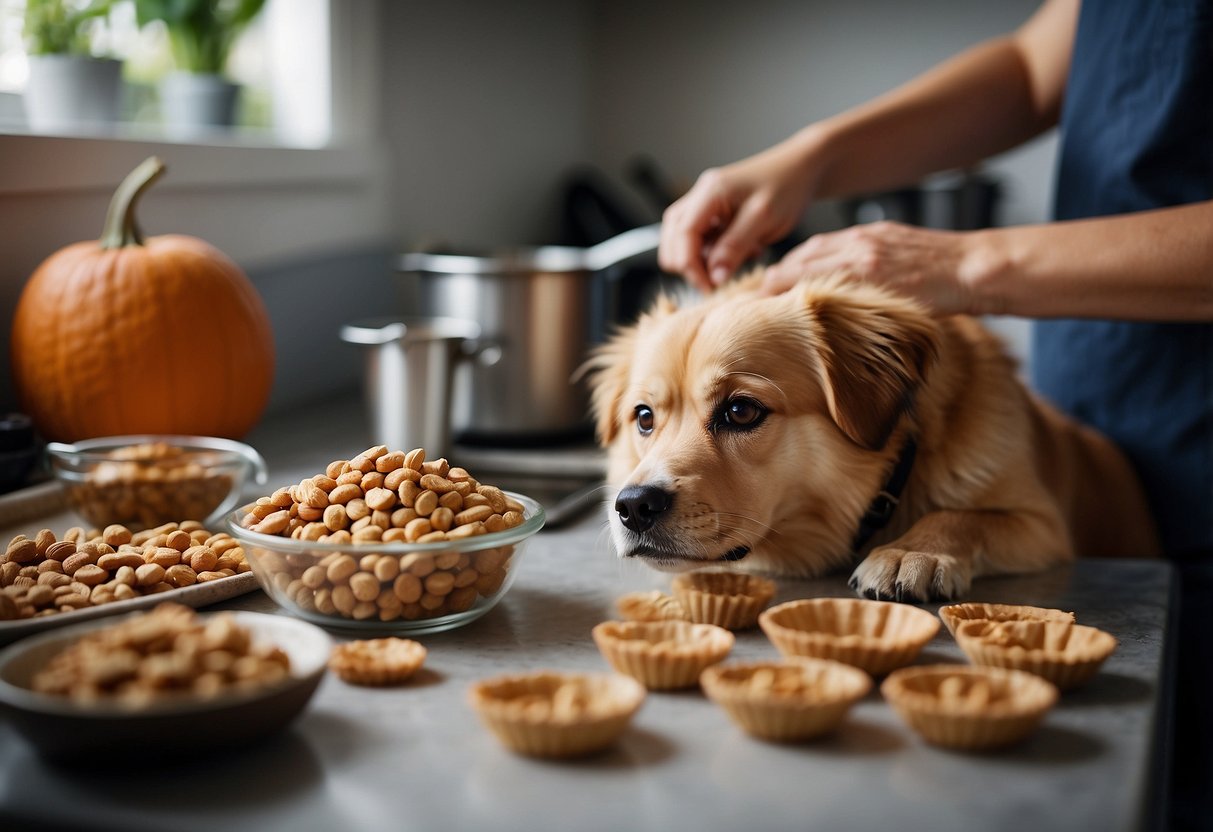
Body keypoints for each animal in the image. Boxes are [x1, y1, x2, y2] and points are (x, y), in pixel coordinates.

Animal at [591, 270, 1159, 603]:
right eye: (644, 418)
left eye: (741, 410)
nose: (634, 506)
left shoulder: (1042, 525)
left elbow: (961, 515)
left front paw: (913, 552)